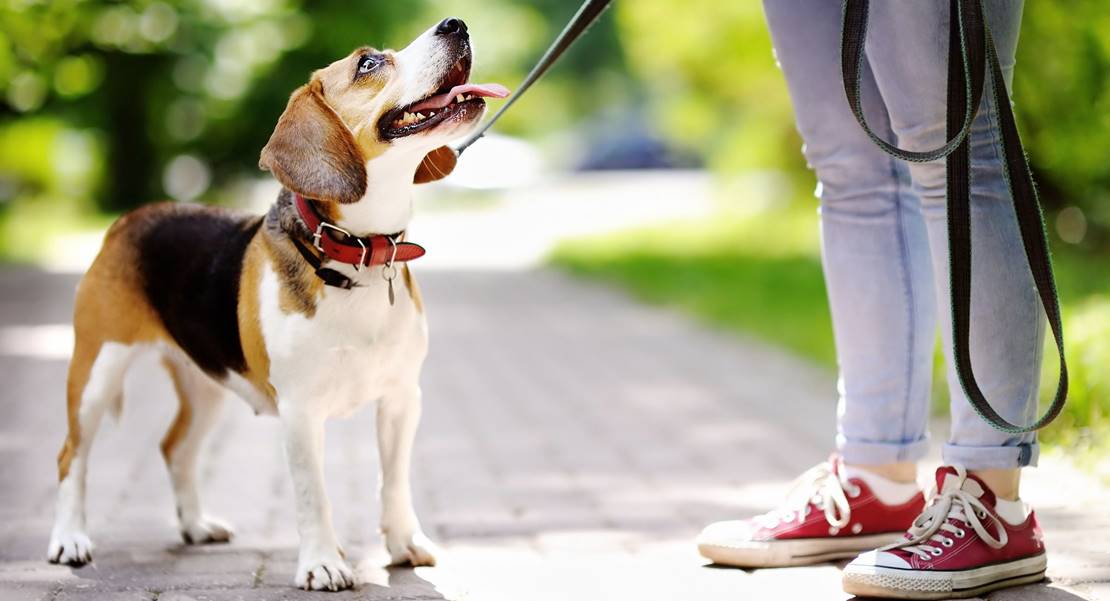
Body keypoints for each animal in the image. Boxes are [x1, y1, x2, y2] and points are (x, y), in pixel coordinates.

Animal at [47, 18, 508, 591]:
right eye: (368, 64)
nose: (456, 24)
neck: (357, 254)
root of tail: (130, 218)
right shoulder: (301, 411)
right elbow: (314, 495)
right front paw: (324, 563)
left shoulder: (402, 398)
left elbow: (394, 481)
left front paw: (404, 543)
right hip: (96, 371)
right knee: (71, 456)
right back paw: (70, 540)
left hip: (205, 384)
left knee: (175, 449)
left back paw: (195, 525)